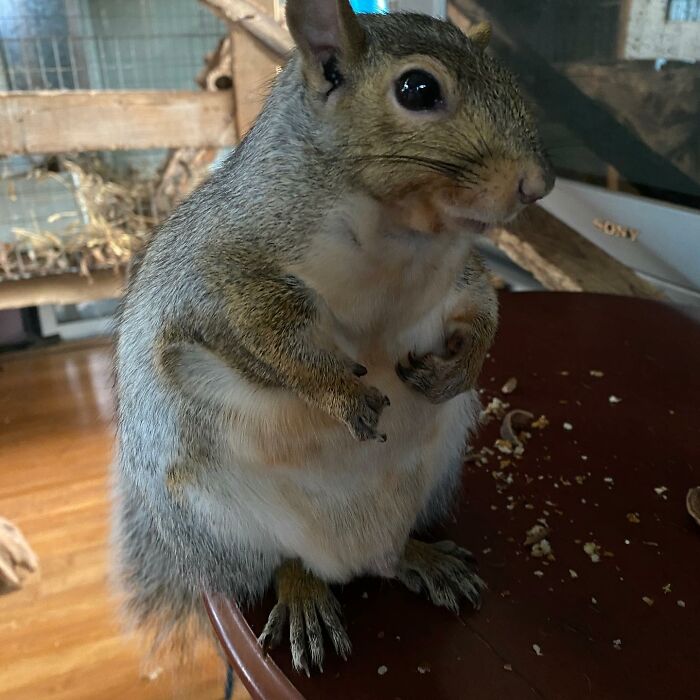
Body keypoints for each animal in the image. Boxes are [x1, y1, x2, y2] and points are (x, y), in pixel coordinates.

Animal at [113, 0, 554, 675]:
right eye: (418, 89)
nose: (538, 183)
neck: (400, 241)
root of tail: (353, 556)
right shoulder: (222, 274)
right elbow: (265, 335)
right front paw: (340, 395)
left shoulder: (457, 280)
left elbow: (482, 307)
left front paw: (459, 368)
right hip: (225, 525)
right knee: (283, 564)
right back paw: (303, 595)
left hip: (433, 479)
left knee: (394, 555)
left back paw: (422, 559)